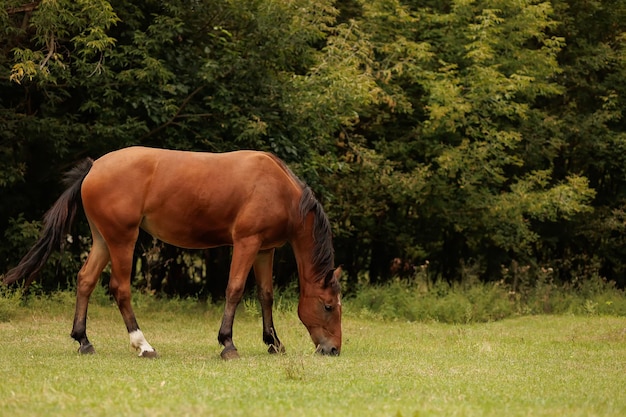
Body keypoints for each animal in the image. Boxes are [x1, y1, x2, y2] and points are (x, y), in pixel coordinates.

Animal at [2, 146, 342, 358]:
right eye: (328, 306)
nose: (333, 349)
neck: (279, 189)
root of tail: (94, 166)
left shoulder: (264, 249)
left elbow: (266, 294)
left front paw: (273, 342)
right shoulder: (247, 242)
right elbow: (234, 289)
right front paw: (227, 343)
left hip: (102, 240)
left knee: (85, 280)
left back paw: (84, 341)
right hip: (122, 240)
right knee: (120, 288)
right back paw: (143, 345)